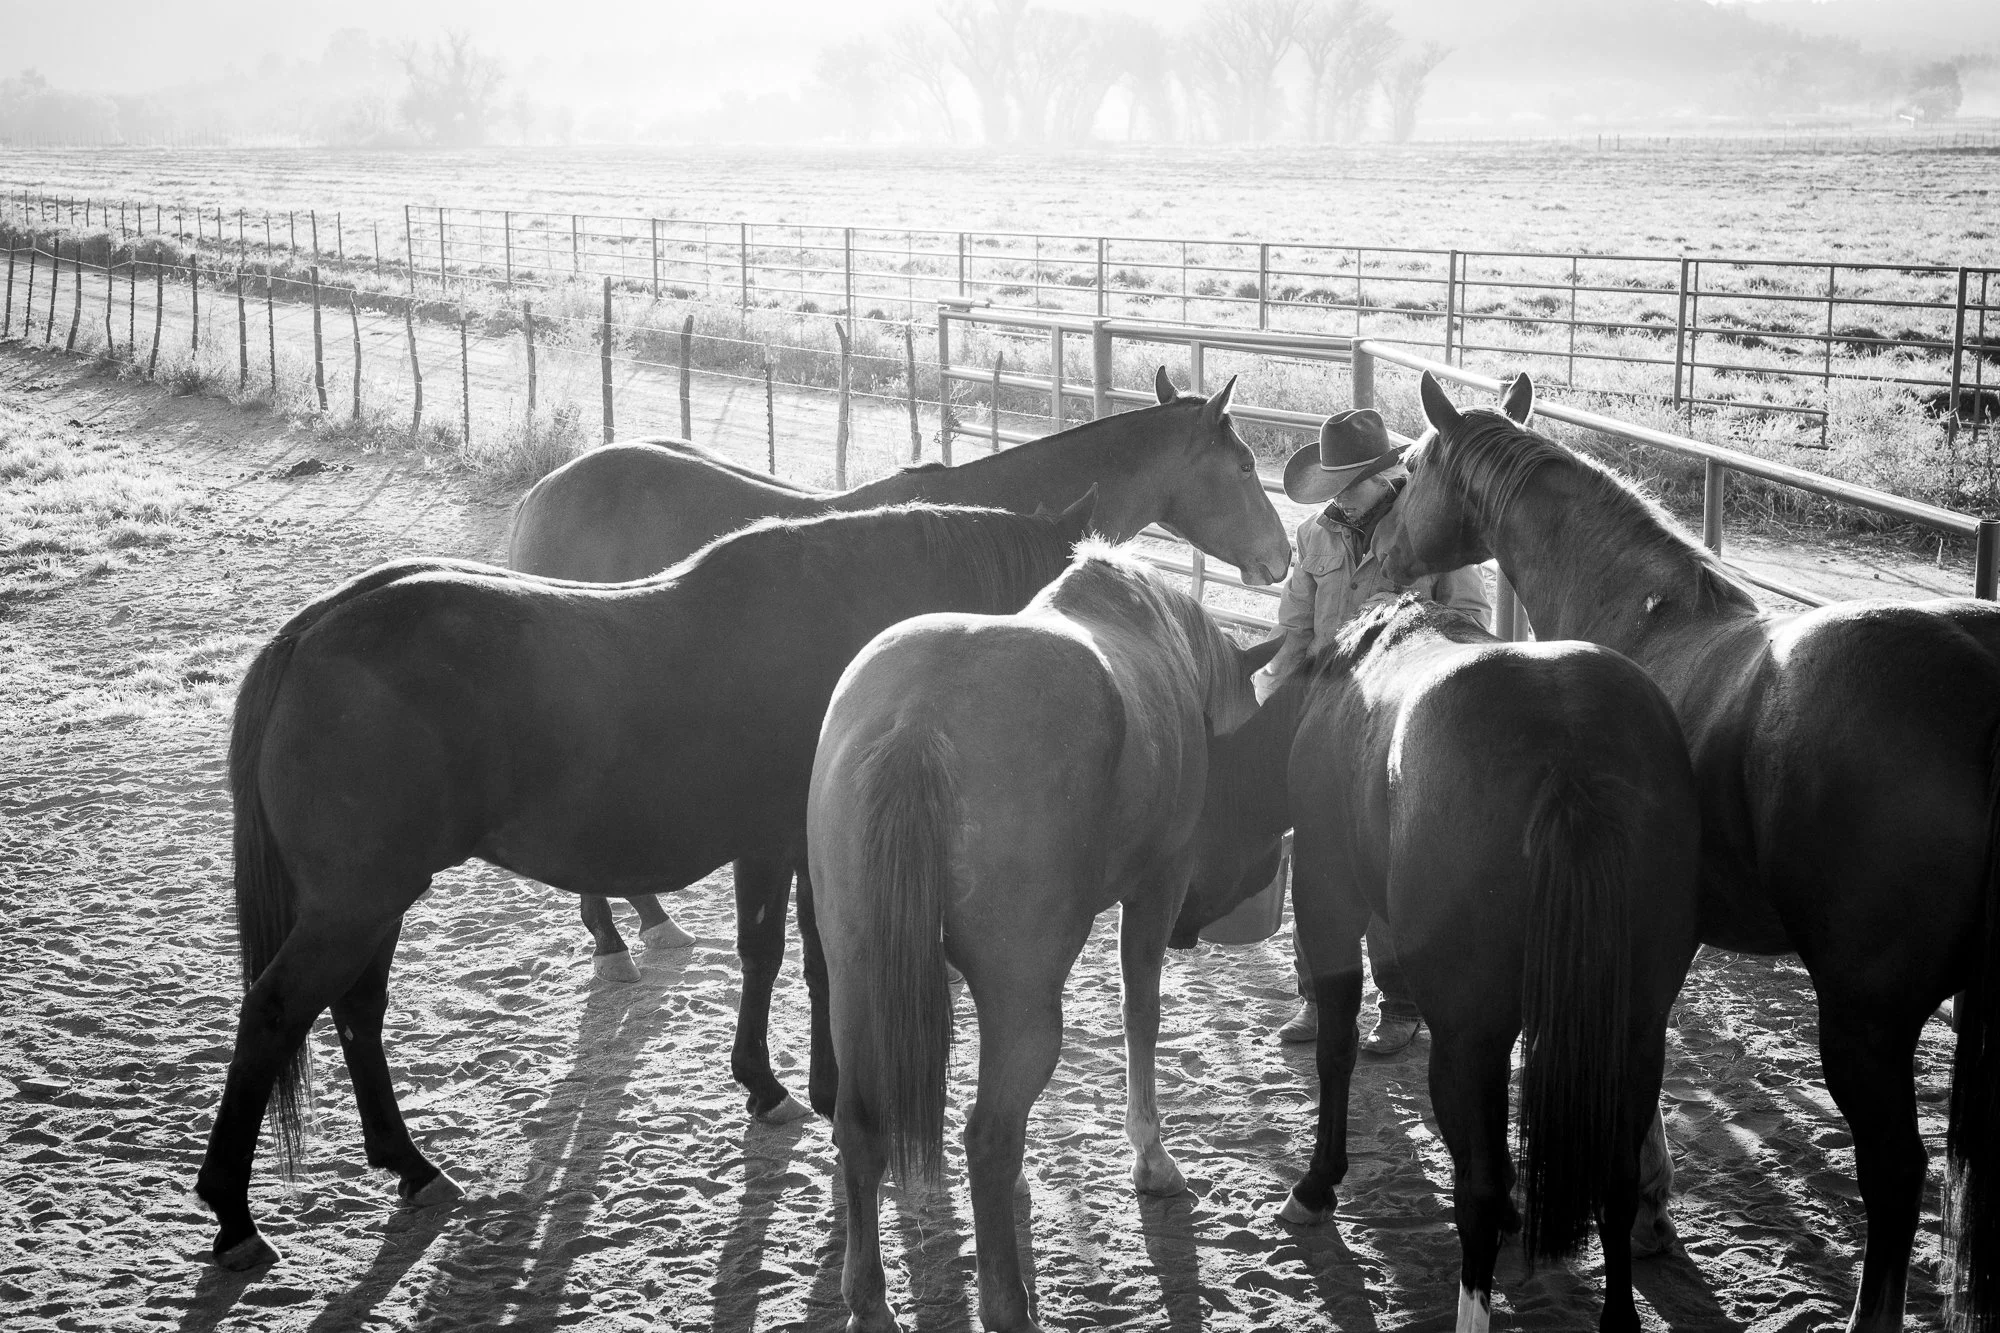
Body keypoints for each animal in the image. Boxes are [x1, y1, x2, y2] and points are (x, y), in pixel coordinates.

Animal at [196, 497, 1100, 1273]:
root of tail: (307, 636)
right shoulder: (777, 846)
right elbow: (779, 957)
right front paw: (782, 1084)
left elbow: (806, 963)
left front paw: (805, 1083)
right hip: (355, 902)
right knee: (275, 1012)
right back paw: (235, 1216)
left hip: (372, 899)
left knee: (356, 1012)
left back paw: (409, 1164)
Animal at [810, 543, 1278, 1333]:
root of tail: (918, 716)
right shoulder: (1157, 886)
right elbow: (1140, 1013)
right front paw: (1151, 1158)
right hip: (1027, 997)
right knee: (989, 1137)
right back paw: (1008, 1304)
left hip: (856, 974)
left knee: (862, 1125)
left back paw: (870, 1302)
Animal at [1171, 596, 1701, 1333]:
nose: (1170, 919)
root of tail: (1571, 752)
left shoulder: (1329, 899)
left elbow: (1336, 1049)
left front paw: (1316, 1186)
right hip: (1633, 1031)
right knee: (1617, 1178)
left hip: (1469, 1035)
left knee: (1476, 1189)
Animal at [1385, 371, 2000, 1333]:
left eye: (1410, 470)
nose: (1378, 547)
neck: (1642, 615)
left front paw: (1645, 1214)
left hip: (1863, 1022)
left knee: (1897, 1176)